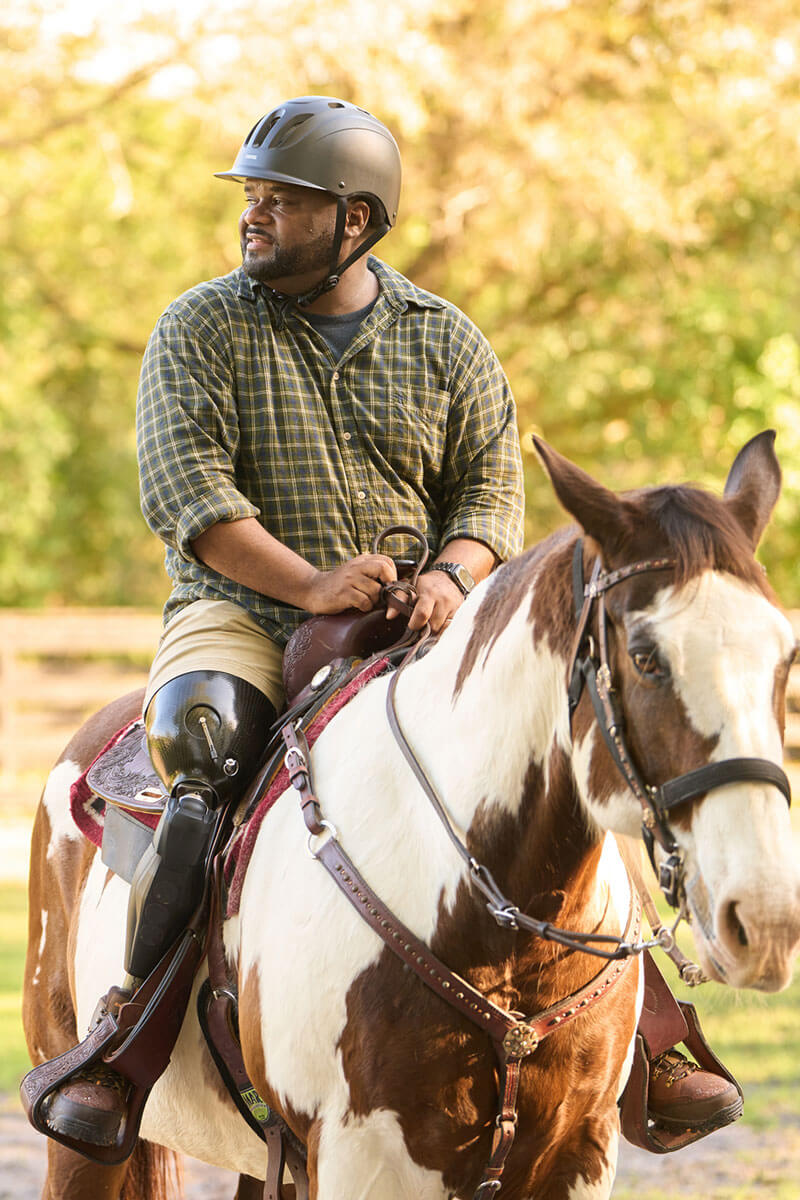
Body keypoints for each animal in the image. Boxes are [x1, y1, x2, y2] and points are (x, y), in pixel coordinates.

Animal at [23, 434, 800, 1200]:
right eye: (645, 657)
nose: (764, 922)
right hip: (83, 1145)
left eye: (785, 657)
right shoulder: (361, 1160)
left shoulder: (579, 1153)